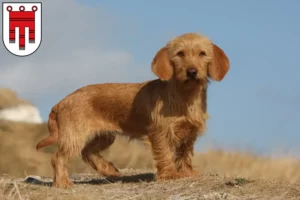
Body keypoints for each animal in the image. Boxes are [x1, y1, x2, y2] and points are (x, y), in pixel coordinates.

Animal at [36, 32, 231, 188]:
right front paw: (169, 174)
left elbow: (185, 154)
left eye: (202, 54)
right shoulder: (160, 132)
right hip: (75, 136)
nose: (192, 71)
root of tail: (61, 101)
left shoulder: (189, 133)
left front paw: (187, 173)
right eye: (180, 54)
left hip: (104, 136)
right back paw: (63, 183)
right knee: (58, 157)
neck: (185, 96)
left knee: (87, 152)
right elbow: (165, 153)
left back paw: (108, 169)